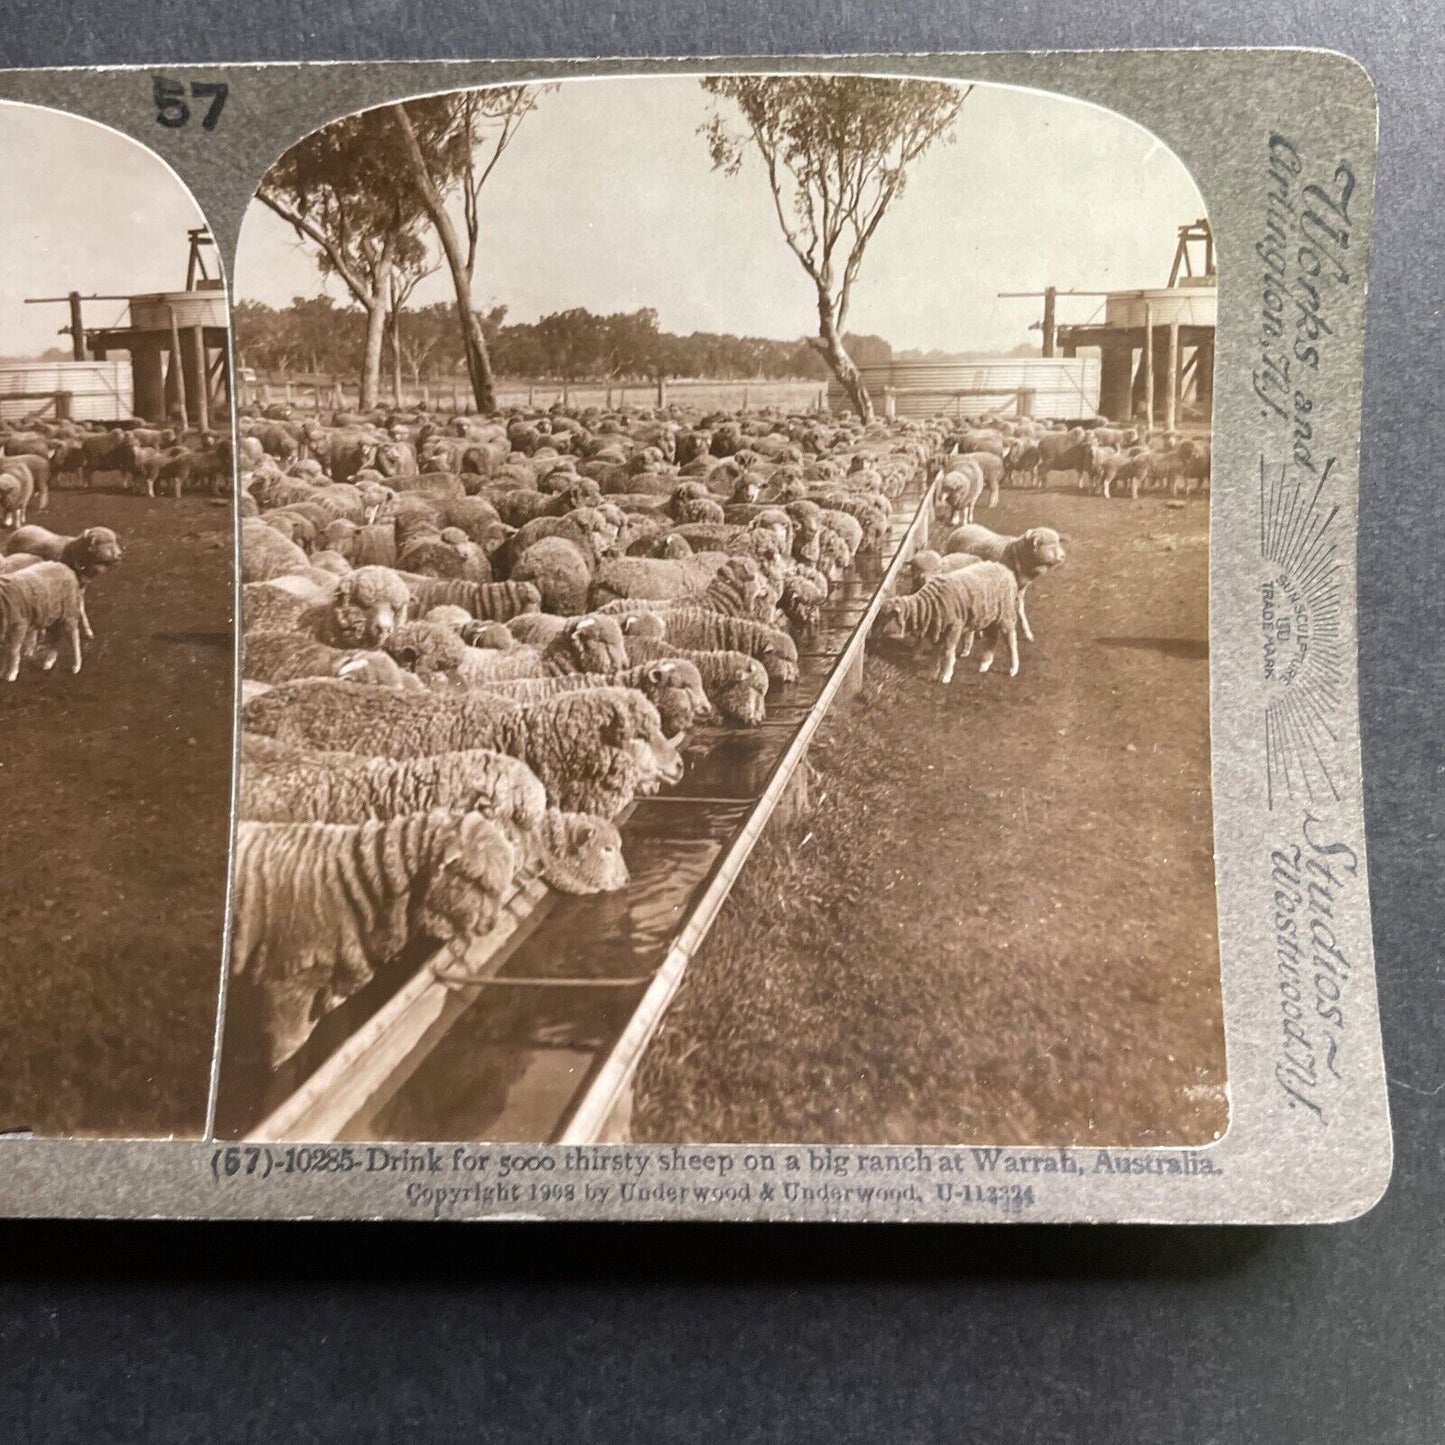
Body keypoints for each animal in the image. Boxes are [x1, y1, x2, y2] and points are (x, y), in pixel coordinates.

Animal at [872, 557, 1023, 682]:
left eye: (883, 616)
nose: (872, 633)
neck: (928, 606)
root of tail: (1005, 569)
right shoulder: (938, 628)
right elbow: (935, 652)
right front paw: (932, 673)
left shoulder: (955, 626)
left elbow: (947, 651)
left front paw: (946, 675)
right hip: (991, 617)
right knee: (992, 638)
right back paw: (985, 664)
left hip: (1006, 614)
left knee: (1010, 640)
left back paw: (1013, 668)